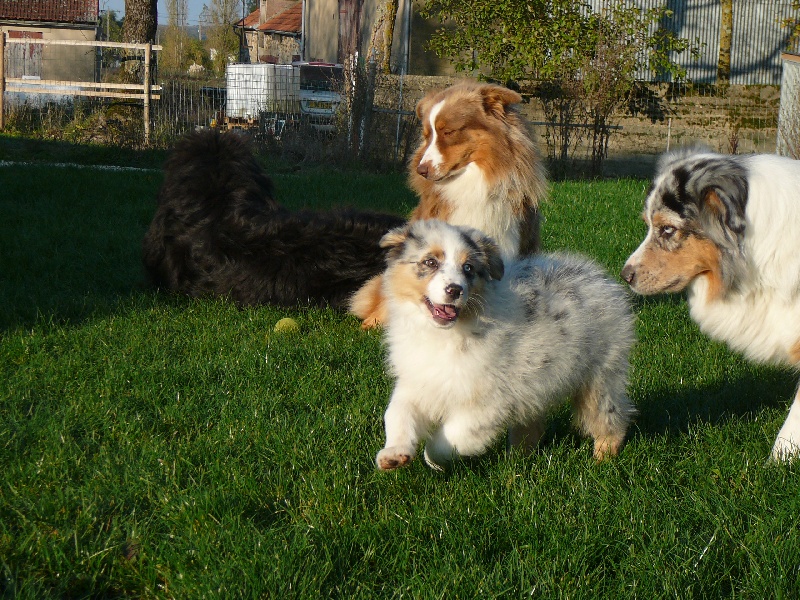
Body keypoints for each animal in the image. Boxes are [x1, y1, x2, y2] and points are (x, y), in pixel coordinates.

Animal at [374, 218, 632, 472]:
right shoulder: (418, 383)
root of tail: (598, 276)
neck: (441, 335)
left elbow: (452, 438)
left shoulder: (489, 404)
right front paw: (394, 454)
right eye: (430, 262)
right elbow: (396, 414)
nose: (455, 290)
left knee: (611, 417)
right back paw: (518, 456)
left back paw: (604, 455)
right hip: (536, 385)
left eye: (468, 268)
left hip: (600, 376)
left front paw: (433, 460)